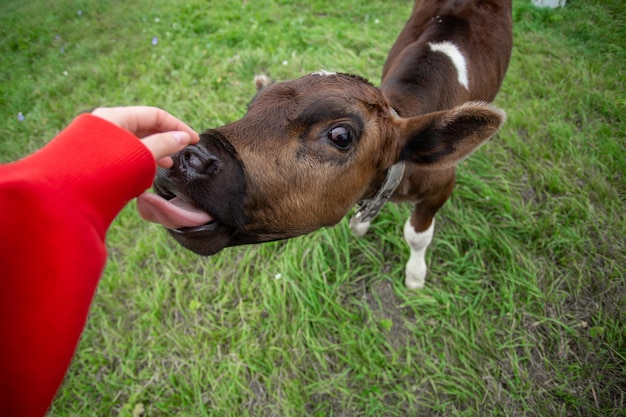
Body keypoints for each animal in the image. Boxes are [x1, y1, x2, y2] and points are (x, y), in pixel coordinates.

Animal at [138, 0, 512, 288]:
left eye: (341, 136)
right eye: (251, 105)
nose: (188, 156)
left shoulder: (442, 184)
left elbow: (417, 235)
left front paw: (416, 277)